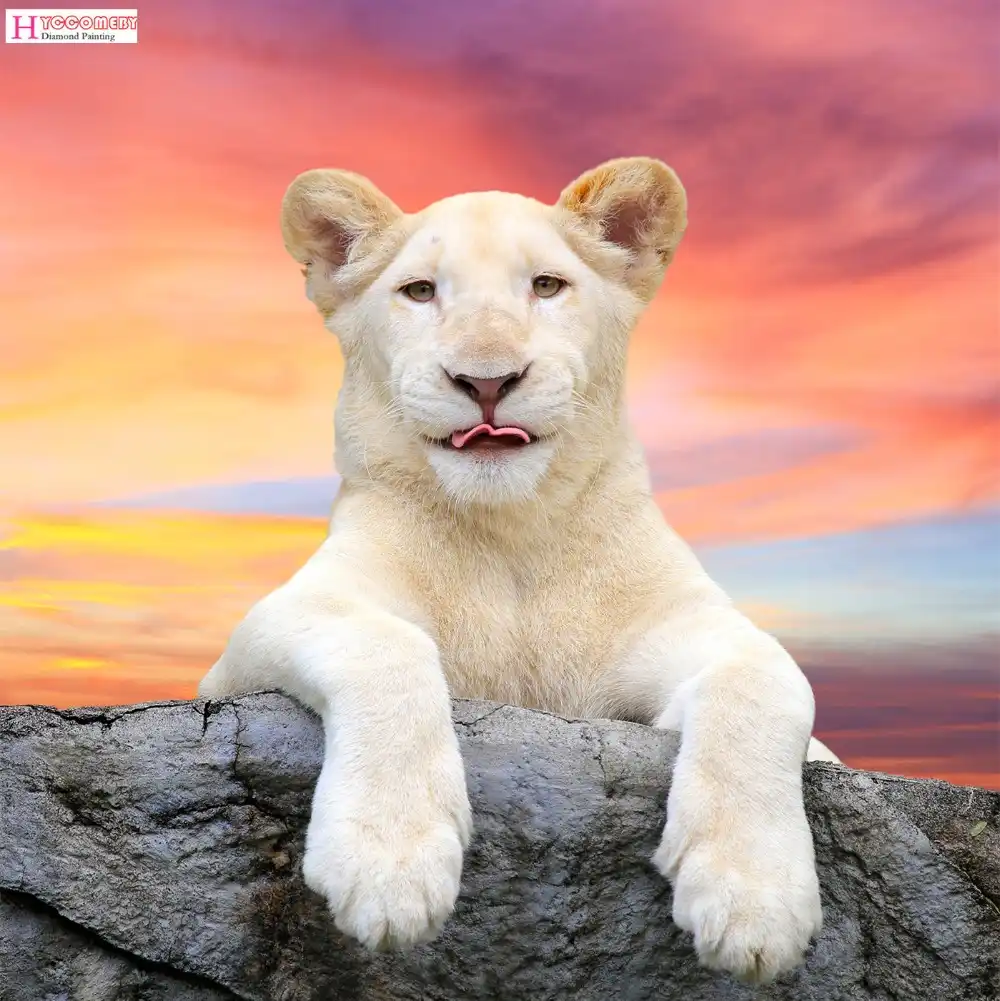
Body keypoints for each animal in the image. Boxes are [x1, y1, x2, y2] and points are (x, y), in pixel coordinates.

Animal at [198, 157, 841, 985]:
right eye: (420, 290)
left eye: (546, 285)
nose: (486, 380)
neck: (511, 534)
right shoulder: (271, 629)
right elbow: (389, 648)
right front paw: (389, 866)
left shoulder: (690, 624)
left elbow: (764, 683)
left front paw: (753, 901)